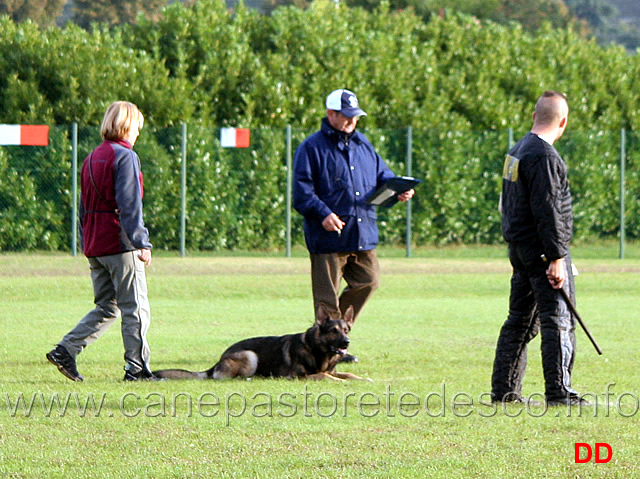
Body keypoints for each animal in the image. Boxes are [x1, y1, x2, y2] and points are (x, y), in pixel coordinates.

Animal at [152, 304, 370, 382]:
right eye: (333, 331)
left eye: (346, 330)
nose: (347, 342)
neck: (317, 349)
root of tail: (218, 361)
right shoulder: (297, 376)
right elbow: (325, 375)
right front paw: (341, 382)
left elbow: (347, 374)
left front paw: (362, 379)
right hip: (250, 356)